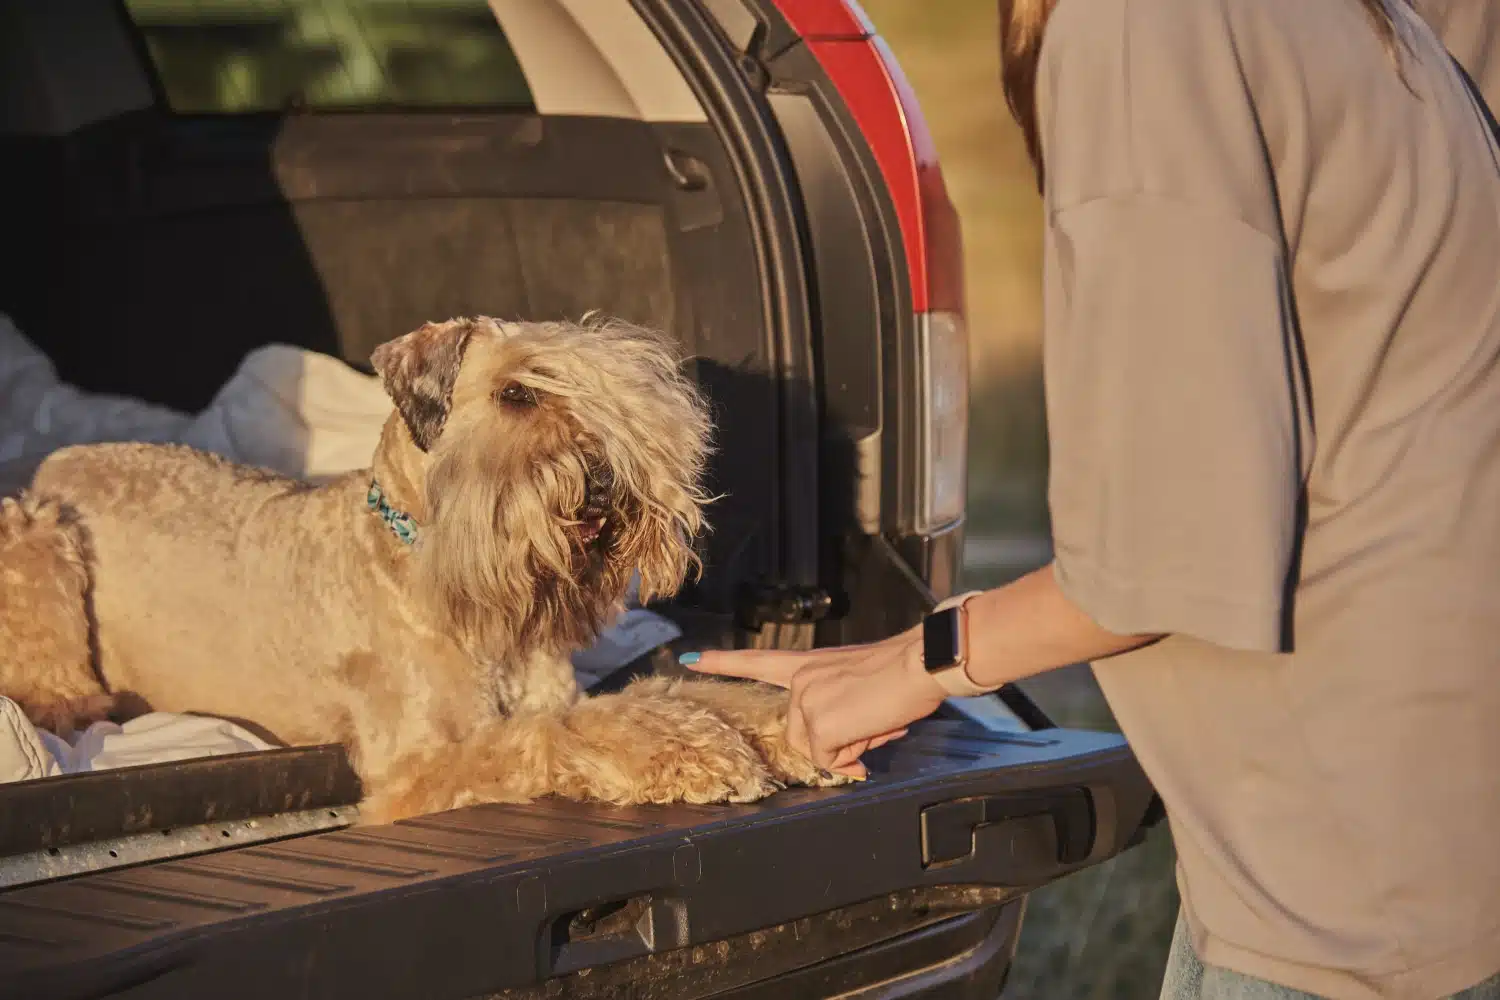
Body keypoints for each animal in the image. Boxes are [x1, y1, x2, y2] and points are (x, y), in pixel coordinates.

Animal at [0, 319, 852, 821]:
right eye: (516, 392)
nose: (611, 482)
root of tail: (56, 460)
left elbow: (671, 688)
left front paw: (786, 729)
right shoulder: (412, 769)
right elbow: (541, 739)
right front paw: (692, 749)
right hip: (33, 532)